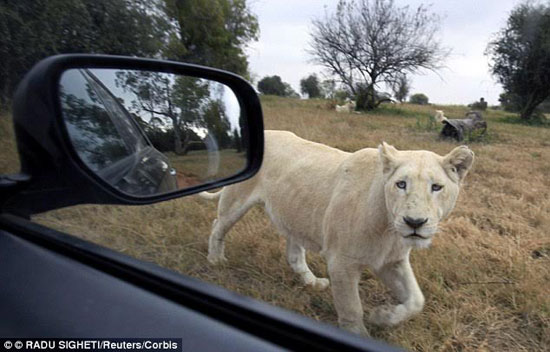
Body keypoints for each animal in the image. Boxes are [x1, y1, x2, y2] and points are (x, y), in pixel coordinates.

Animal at [201, 130, 476, 336]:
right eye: (401, 184)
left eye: (436, 187)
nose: (414, 222)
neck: (388, 230)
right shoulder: (341, 263)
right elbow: (351, 308)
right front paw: (360, 333)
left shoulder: (391, 261)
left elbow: (417, 300)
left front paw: (383, 316)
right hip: (236, 199)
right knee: (217, 225)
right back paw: (215, 260)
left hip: (294, 215)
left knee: (294, 253)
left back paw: (311, 281)